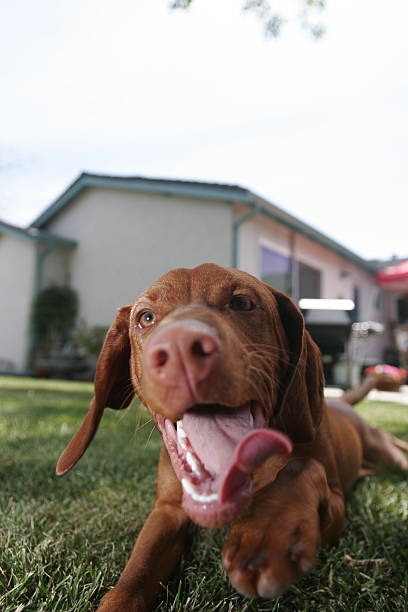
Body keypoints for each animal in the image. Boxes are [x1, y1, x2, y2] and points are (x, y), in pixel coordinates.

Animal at [55, 264, 408, 612]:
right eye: (146, 317)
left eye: (241, 303)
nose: (180, 348)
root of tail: (341, 401)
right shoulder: (167, 511)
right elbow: (135, 572)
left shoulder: (335, 506)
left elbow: (302, 468)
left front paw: (265, 534)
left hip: (387, 453)